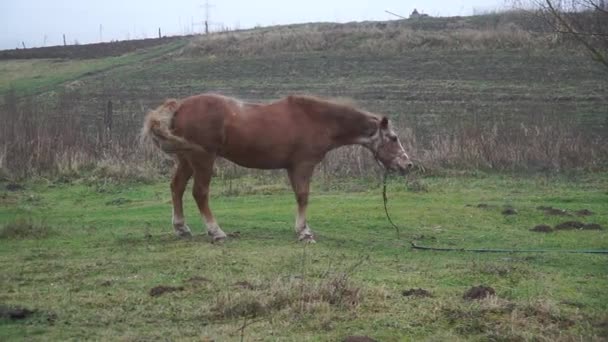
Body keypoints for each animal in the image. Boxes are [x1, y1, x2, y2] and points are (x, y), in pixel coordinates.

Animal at [141, 93, 414, 243]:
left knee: (176, 187)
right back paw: (216, 232)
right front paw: (304, 232)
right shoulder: (302, 165)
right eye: (393, 138)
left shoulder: (294, 167)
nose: (407, 164)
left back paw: (181, 228)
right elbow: (303, 197)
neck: (317, 120)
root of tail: (180, 106)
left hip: (186, 159)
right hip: (202, 159)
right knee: (199, 193)